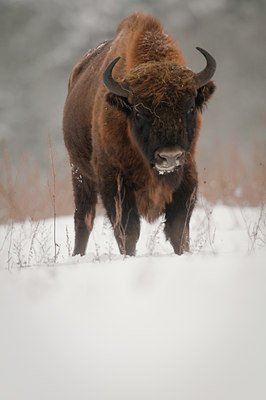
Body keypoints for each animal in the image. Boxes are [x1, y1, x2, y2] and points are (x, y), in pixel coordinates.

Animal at [62, 11, 216, 256]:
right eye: (138, 111)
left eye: (191, 107)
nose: (169, 156)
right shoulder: (114, 182)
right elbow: (127, 230)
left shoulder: (187, 177)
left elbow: (178, 229)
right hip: (80, 173)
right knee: (83, 219)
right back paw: (78, 254)